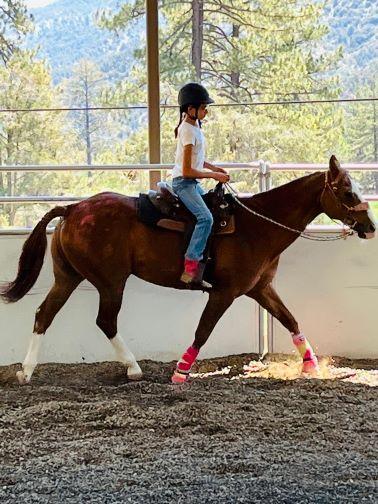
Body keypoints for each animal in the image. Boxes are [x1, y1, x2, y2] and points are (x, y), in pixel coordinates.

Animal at [1, 156, 376, 384]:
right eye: (347, 191)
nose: (370, 226)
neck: (256, 225)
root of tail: (74, 208)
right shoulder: (225, 293)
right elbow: (203, 330)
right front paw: (181, 371)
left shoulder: (261, 288)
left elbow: (291, 320)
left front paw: (311, 365)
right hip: (111, 282)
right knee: (105, 321)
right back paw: (134, 368)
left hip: (68, 277)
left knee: (44, 314)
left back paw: (26, 372)